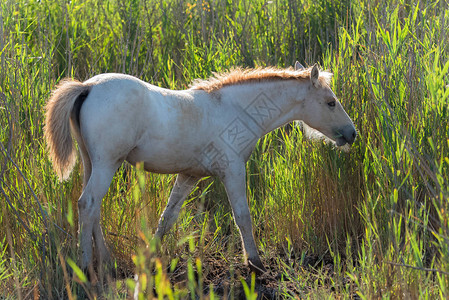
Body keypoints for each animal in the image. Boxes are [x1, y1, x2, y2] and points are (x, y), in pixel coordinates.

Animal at [44, 62, 354, 276]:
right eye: (330, 102)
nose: (352, 134)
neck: (235, 109)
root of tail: (88, 86)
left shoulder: (189, 175)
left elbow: (167, 217)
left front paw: (152, 258)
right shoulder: (233, 171)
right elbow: (243, 217)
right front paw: (255, 264)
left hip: (91, 163)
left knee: (93, 209)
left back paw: (107, 263)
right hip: (107, 163)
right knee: (88, 204)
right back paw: (85, 267)